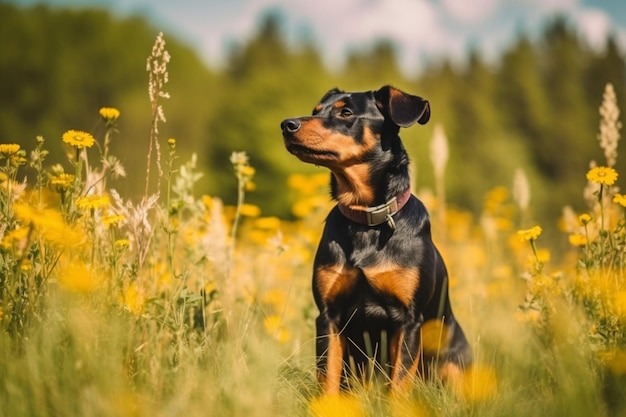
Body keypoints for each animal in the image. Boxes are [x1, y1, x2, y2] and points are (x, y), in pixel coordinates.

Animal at [280, 85, 470, 394]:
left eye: (346, 112)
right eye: (315, 110)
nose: (287, 125)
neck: (365, 219)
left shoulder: (408, 319)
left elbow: (399, 384)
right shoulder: (329, 316)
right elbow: (328, 376)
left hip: (453, 362)